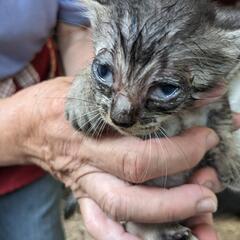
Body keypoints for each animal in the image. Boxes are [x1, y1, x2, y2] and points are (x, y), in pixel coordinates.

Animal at [65, 0, 240, 239]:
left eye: (166, 90)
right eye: (103, 71)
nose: (119, 118)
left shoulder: (215, 97)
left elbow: (222, 121)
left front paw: (231, 158)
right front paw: (82, 99)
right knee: (137, 223)